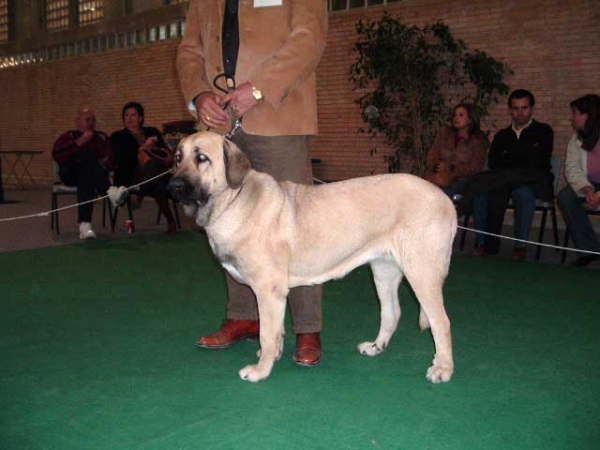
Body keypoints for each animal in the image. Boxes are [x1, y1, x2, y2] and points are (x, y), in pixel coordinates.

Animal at [166, 131, 458, 384]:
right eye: (178, 158)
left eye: (202, 158)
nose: (173, 186)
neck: (233, 199)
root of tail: (446, 199)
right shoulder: (274, 294)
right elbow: (277, 331)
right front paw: (273, 356)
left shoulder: (267, 290)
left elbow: (266, 334)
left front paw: (260, 370)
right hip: (383, 270)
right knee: (391, 312)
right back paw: (376, 346)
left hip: (421, 272)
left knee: (441, 321)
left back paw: (443, 368)